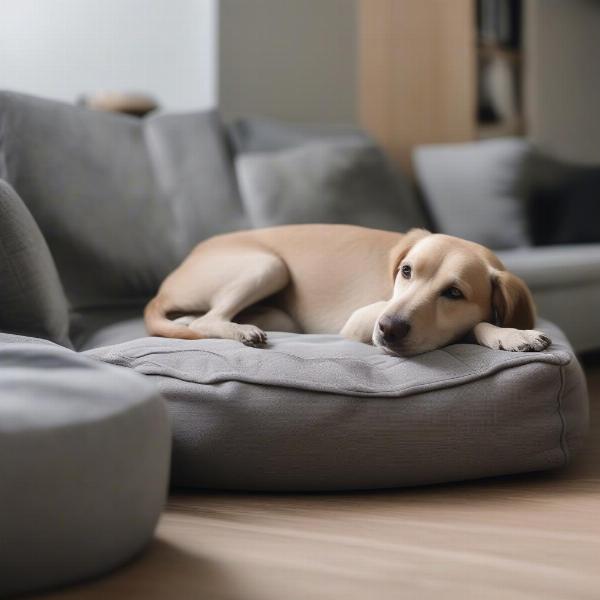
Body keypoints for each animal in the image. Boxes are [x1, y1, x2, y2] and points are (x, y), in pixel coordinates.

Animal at [143, 225, 552, 356]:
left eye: (454, 293)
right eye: (406, 271)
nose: (388, 329)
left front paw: (508, 333)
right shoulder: (361, 320)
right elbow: (472, 326)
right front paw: (510, 334)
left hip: (280, 313)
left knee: (196, 319)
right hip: (267, 265)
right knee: (209, 319)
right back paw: (240, 330)